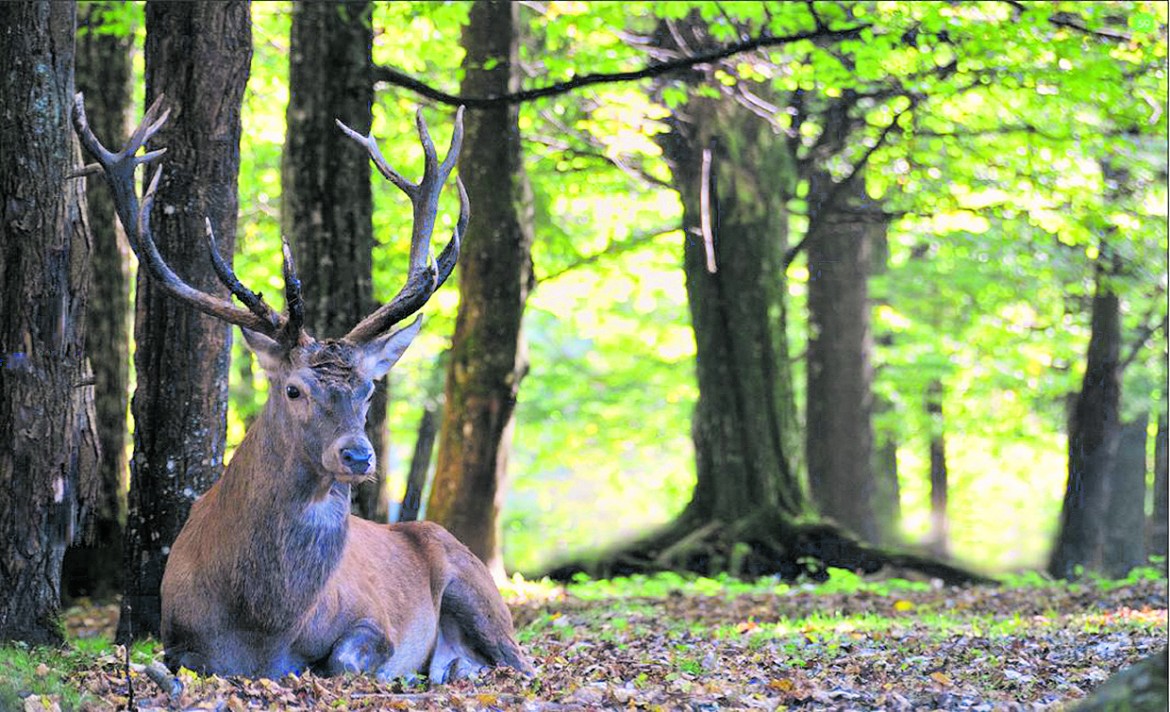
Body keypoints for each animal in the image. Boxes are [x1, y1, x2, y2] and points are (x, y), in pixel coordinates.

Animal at [77, 92, 538, 678]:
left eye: (368, 390)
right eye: (294, 389)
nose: (359, 456)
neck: (261, 625)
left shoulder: (375, 620)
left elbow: (342, 659)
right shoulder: (176, 636)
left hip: (476, 582)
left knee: (521, 660)